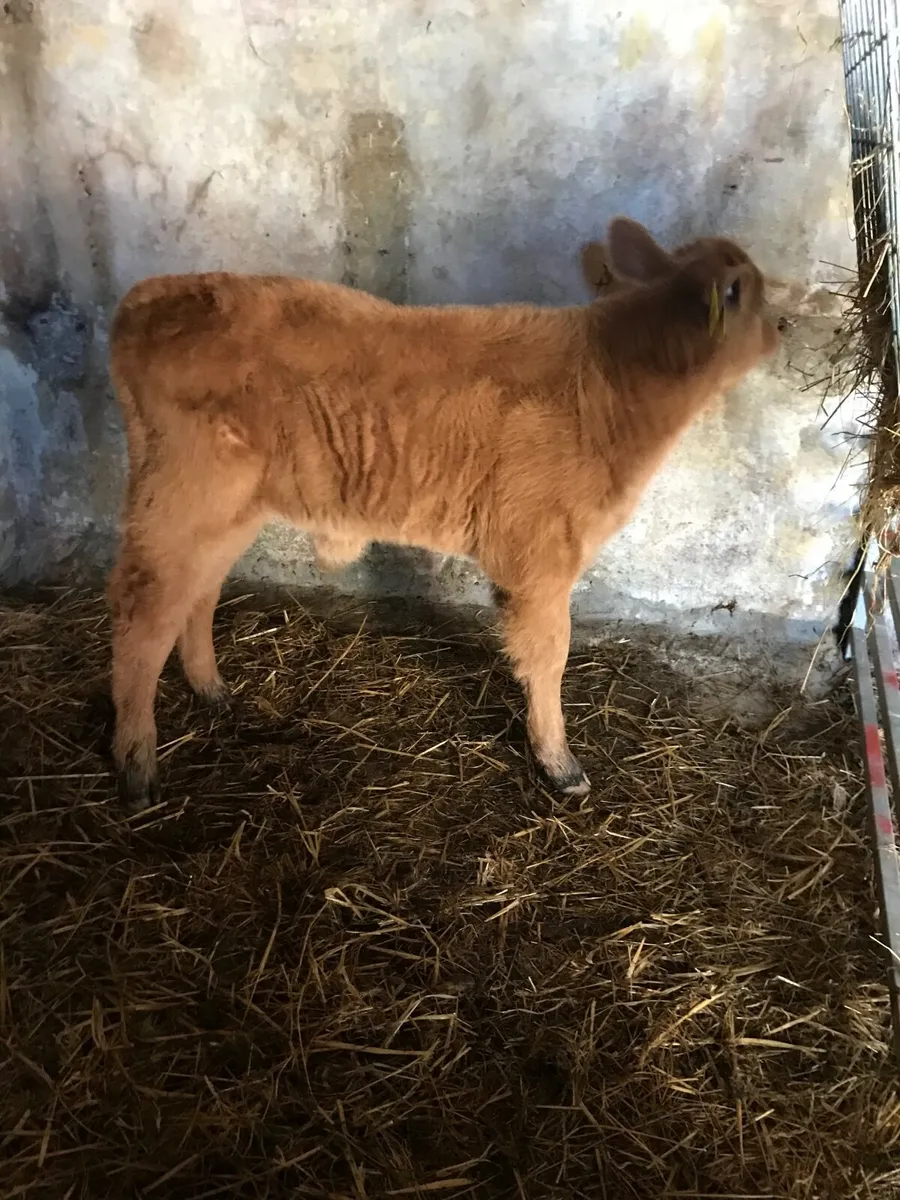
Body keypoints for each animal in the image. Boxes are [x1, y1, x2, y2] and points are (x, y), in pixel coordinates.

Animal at [106, 216, 779, 812]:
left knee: (199, 593)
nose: (783, 328)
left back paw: (211, 690)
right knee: (145, 614)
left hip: (229, 510)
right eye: (751, 293)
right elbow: (550, 656)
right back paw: (137, 766)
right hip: (181, 498)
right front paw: (560, 764)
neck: (610, 386)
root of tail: (149, 297)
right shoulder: (541, 560)